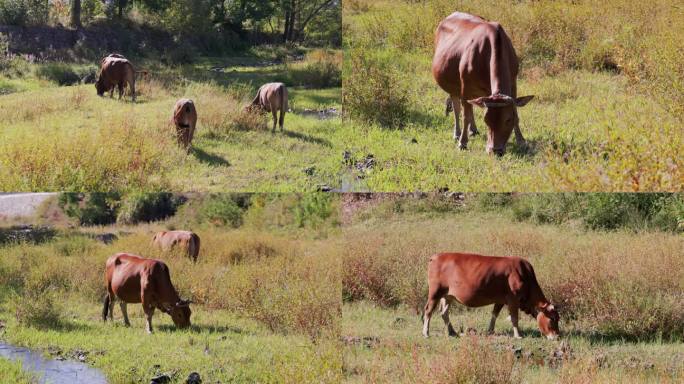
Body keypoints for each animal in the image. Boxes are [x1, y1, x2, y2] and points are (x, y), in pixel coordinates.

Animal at [422, 252, 560, 340]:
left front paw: (490, 331)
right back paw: (426, 333)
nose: (557, 336)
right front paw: (518, 335)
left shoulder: (501, 300)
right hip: (435, 292)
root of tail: (436, 256)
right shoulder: (513, 299)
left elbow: (494, 314)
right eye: (552, 318)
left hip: (448, 295)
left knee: (444, 312)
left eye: (558, 318)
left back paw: (452, 332)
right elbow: (514, 318)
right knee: (428, 310)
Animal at [432, 12, 536, 155]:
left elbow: (516, 111)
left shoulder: (513, 82)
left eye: (508, 120)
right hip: (453, 86)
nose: (495, 150)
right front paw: (462, 143)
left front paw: (521, 140)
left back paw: (473, 130)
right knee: (457, 107)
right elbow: (465, 114)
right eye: (486, 119)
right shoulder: (465, 86)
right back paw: (458, 133)